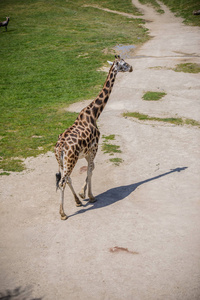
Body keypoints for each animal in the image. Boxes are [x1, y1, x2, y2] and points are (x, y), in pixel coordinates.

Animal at [55, 55, 133, 220]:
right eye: (123, 63)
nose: (131, 68)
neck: (94, 114)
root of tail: (60, 148)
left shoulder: (87, 152)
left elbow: (91, 168)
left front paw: (82, 194)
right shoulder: (95, 148)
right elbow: (90, 170)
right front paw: (90, 196)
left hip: (61, 161)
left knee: (66, 179)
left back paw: (77, 202)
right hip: (70, 160)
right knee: (62, 182)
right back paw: (63, 213)